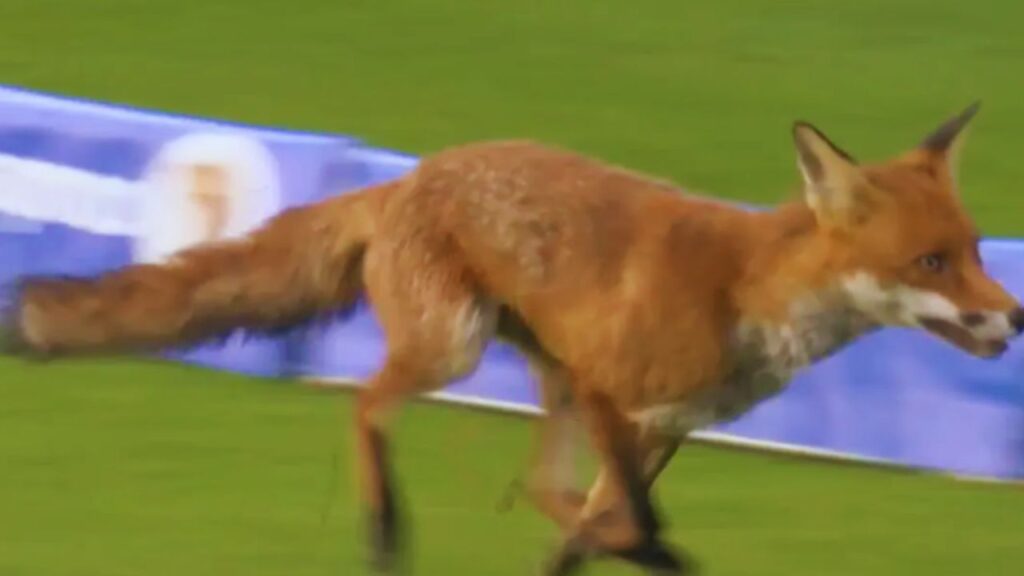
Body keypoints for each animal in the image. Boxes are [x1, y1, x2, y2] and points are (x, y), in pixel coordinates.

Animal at [3, 102, 1022, 575]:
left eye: (975, 251)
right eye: (931, 262)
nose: (1014, 317)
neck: (744, 292)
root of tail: (411, 174)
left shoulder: (666, 425)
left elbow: (606, 516)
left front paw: (601, 553)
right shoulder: (616, 394)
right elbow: (634, 519)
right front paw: (652, 553)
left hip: (546, 376)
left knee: (539, 483)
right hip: (457, 348)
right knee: (370, 406)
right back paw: (385, 527)